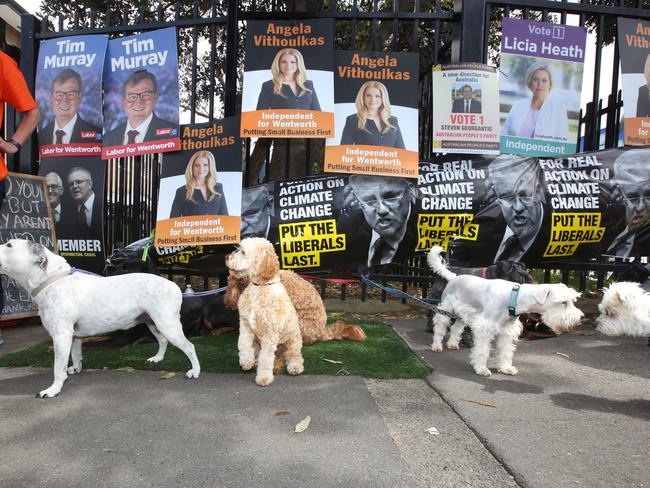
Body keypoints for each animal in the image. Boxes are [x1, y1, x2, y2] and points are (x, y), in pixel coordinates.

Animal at [0, 239, 200, 396]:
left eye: (9, 245)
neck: (52, 279)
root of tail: (174, 285)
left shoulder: (61, 336)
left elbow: (58, 368)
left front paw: (53, 389)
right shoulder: (73, 336)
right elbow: (76, 354)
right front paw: (76, 369)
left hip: (167, 325)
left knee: (189, 347)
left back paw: (195, 371)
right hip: (152, 323)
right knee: (163, 340)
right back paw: (157, 359)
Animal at [225, 238, 302, 386]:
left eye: (243, 252)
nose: (226, 257)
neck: (259, 287)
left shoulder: (270, 333)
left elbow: (266, 358)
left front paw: (264, 377)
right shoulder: (245, 324)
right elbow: (243, 343)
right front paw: (246, 361)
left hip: (293, 339)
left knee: (294, 355)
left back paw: (295, 366)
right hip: (257, 342)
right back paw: (254, 361)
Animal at [426, 246, 584, 376]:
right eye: (563, 302)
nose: (581, 317)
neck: (514, 297)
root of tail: (454, 277)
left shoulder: (507, 331)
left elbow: (506, 351)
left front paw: (505, 368)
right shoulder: (485, 327)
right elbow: (483, 350)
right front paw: (481, 369)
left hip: (463, 315)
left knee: (456, 328)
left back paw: (452, 344)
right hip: (445, 310)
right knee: (440, 328)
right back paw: (437, 346)